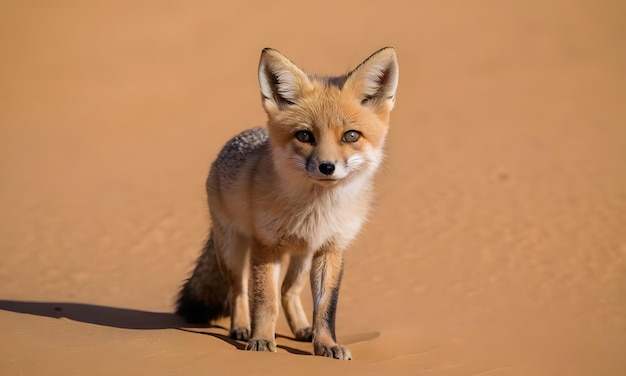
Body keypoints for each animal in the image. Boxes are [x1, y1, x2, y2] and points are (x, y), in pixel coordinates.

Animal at [176, 47, 398, 362]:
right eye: (304, 135)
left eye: (351, 135)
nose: (327, 167)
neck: (317, 210)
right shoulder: (266, 247)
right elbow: (265, 302)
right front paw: (261, 340)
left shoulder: (331, 248)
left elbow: (326, 308)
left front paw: (326, 343)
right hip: (232, 249)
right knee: (238, 290)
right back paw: (241, 328)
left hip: (302, 256)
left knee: (288, 291)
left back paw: (303, 329)